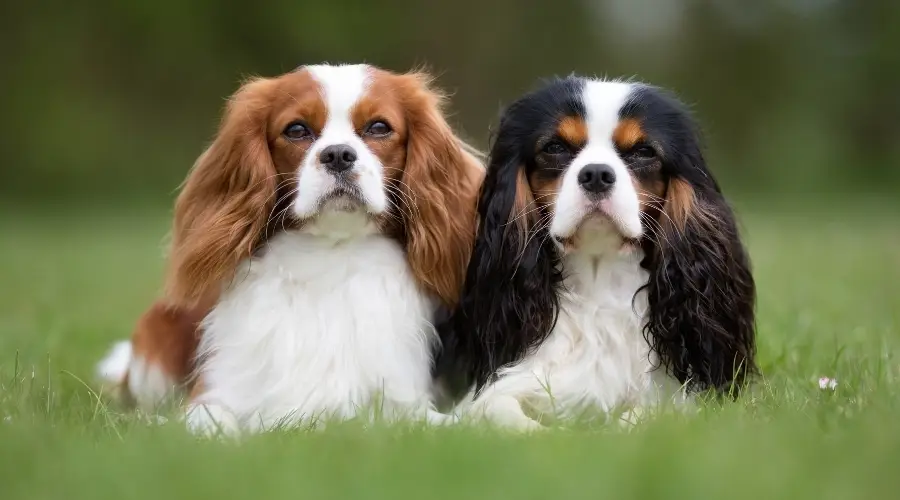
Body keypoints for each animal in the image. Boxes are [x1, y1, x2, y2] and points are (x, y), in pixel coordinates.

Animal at [98, 64, 486, 434]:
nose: (338, 155)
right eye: (296, 130)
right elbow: (208, 422)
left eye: (379, 127)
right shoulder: (214, 393)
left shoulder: (403, 402)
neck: (330, 256)